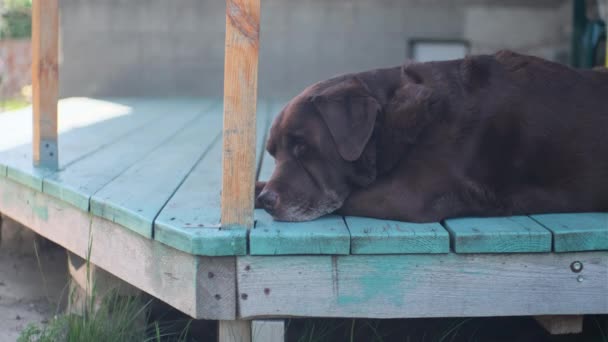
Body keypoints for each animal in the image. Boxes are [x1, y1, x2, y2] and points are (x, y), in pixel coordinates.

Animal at [254, 50, 604, 222]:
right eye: (273, 152)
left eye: (303, 147)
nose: (268, 201)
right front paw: (255, 191)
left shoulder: (406, 195)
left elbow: (351, 197)